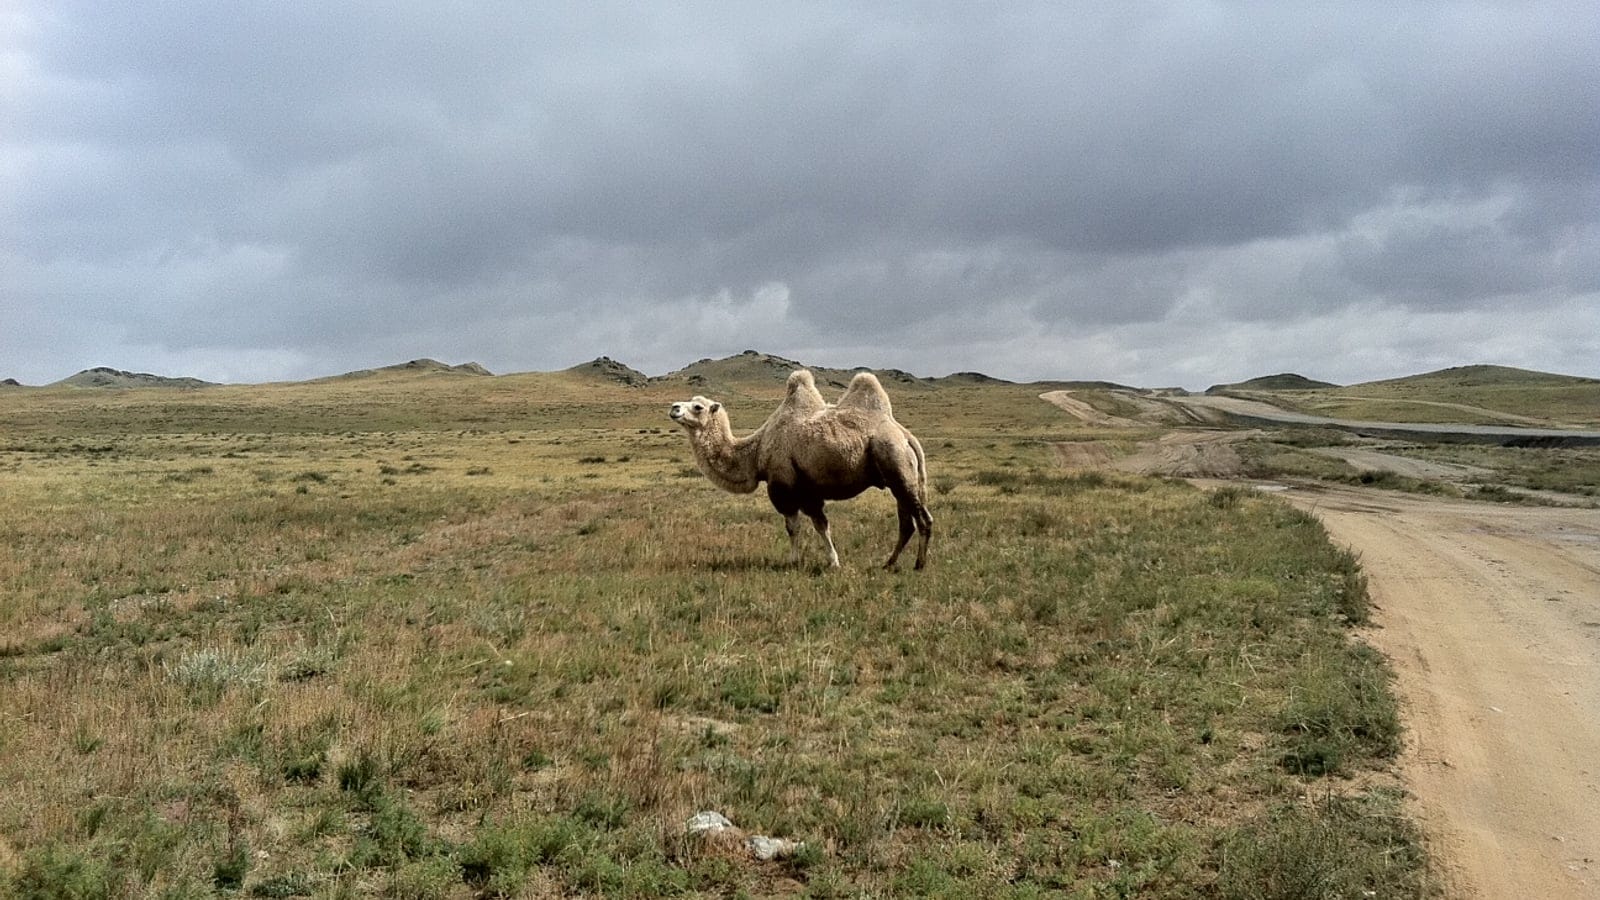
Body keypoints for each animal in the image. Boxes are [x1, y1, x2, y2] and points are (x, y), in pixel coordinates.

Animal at [668, 369, 933, 569]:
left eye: (698, 406)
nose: (674, 408)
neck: (757, 452)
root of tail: (906, 436)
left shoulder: (786, 486)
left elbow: (798, 526)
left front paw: (807, 561)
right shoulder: (807, 490)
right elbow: (817, 525)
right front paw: (822, 560)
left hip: (897, 464)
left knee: (922, 519)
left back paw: (919, 565)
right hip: (899, 476)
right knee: (907, 523)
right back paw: (889, 563)